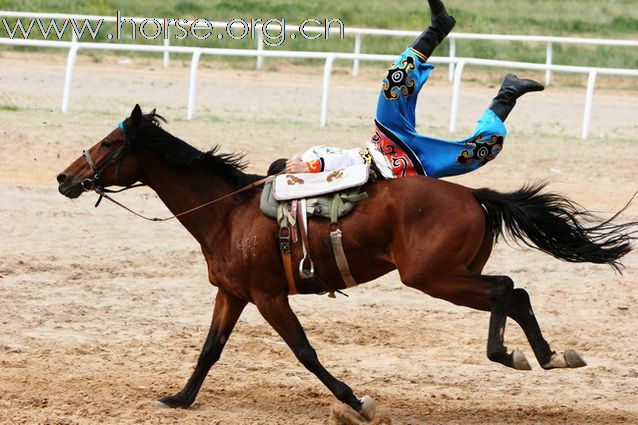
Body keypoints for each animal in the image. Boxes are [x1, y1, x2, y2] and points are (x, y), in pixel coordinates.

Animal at [57, 104, 636, 420]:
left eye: (109, 141)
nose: (65, 178)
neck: (228, 212)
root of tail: (475, 196)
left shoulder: (268, 297)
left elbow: (305, 353)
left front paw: (357, 403)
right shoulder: (233, 293)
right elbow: (209, 351)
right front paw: (179, 399)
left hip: (434, 278)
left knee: (505, 289)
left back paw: (511, 353)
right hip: (451, 275)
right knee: (515, 291)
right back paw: (549, 355)